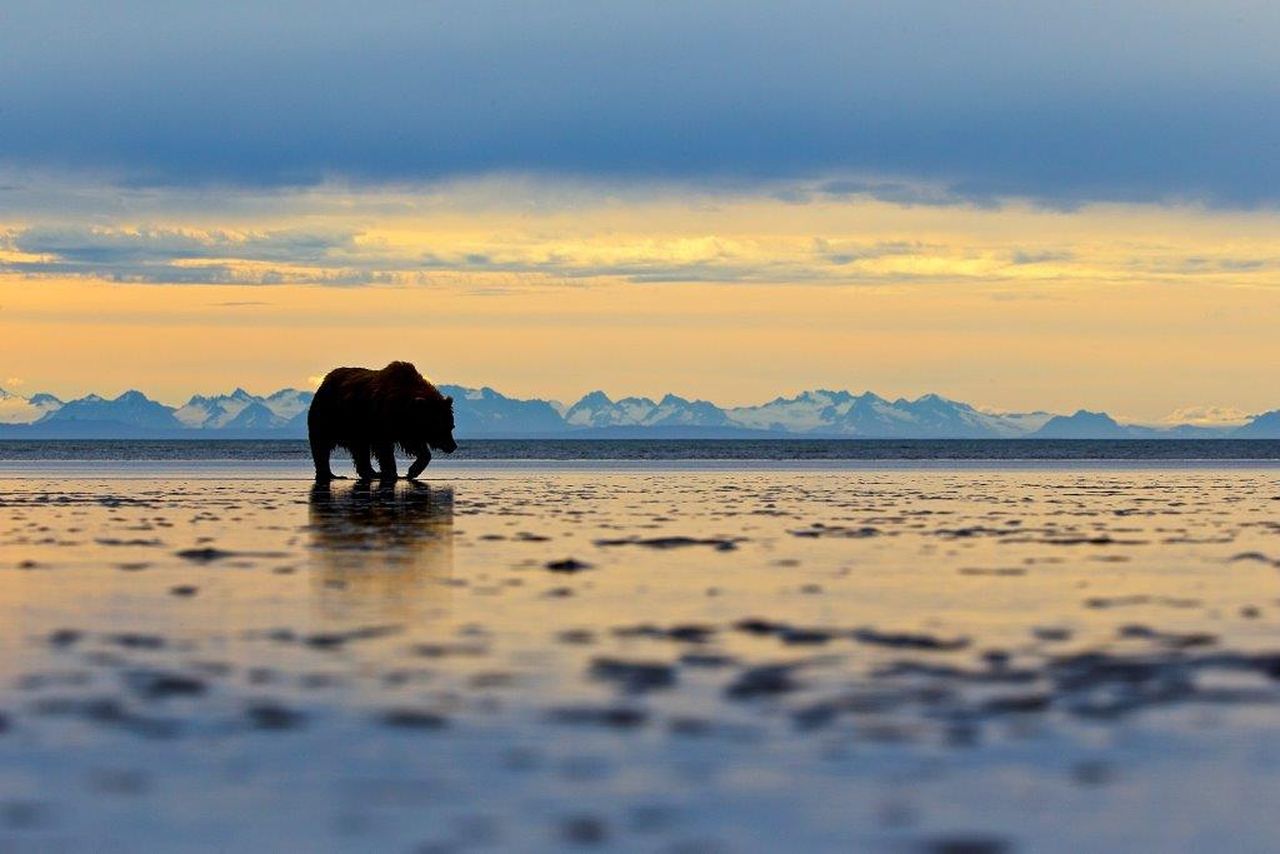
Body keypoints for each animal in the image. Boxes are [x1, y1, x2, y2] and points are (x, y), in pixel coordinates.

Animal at [307, 361, 457, 482]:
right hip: (331, 416)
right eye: (440, 427)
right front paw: (392, 473)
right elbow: (384, 448)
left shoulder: (407, 429)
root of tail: (325, 380)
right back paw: (330, 474)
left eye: (451, 426)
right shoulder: (382, 421)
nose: (453, 446)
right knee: (321, 445)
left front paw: (412, 471)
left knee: (360, 449)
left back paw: (372, 473)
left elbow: (419, 448)